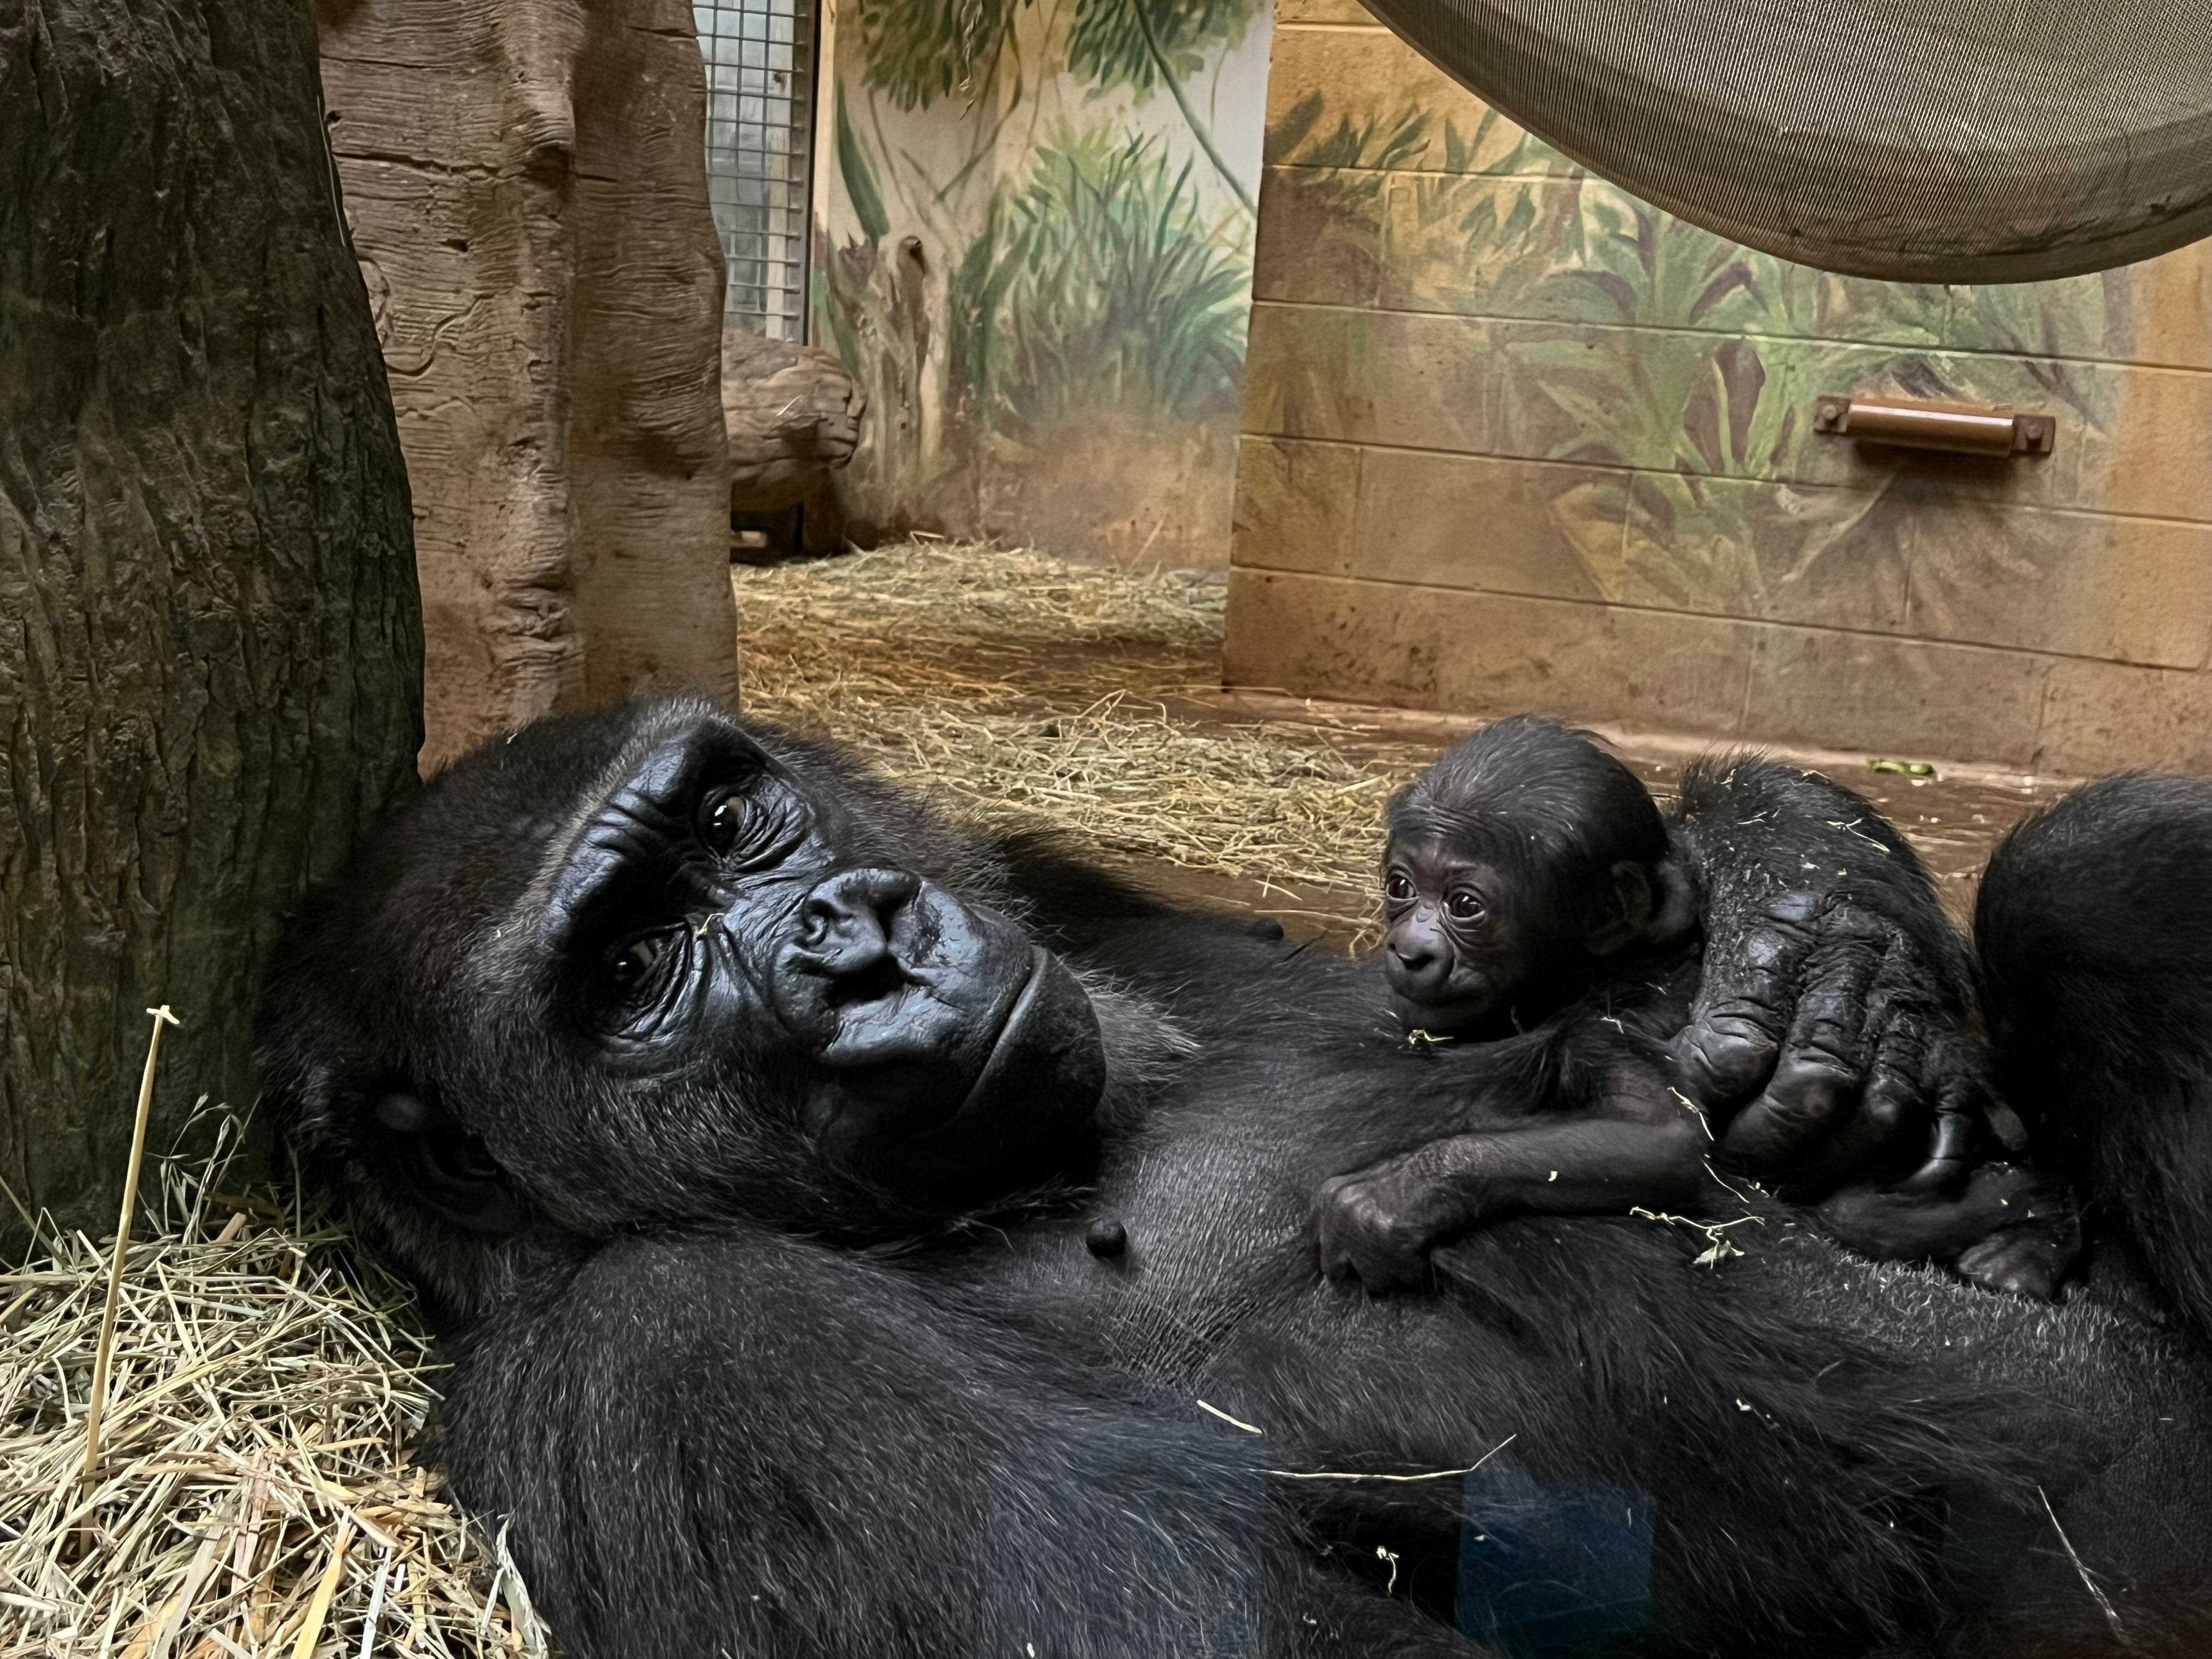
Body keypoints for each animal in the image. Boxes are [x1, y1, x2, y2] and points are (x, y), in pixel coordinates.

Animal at [1309, 721, 2070, 1309]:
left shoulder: (1609, 1031)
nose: (1411, 948)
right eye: (1401, 887)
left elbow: (1660, 1138)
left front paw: (1398, 1196)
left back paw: (2030, 1238)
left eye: (1465, 905)